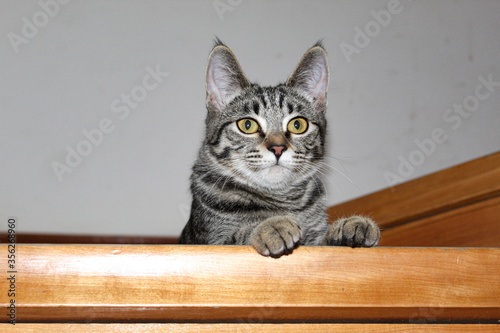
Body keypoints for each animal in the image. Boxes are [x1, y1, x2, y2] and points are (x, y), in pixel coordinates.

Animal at [180, 39, 378, 256]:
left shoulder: (315, 240)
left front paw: (351, 224)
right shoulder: (208, 242)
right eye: (247, 125)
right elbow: (236, 237)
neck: (280, 200)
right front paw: (270, 226)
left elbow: (323, 241)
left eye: (298, 125)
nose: (277, 148)